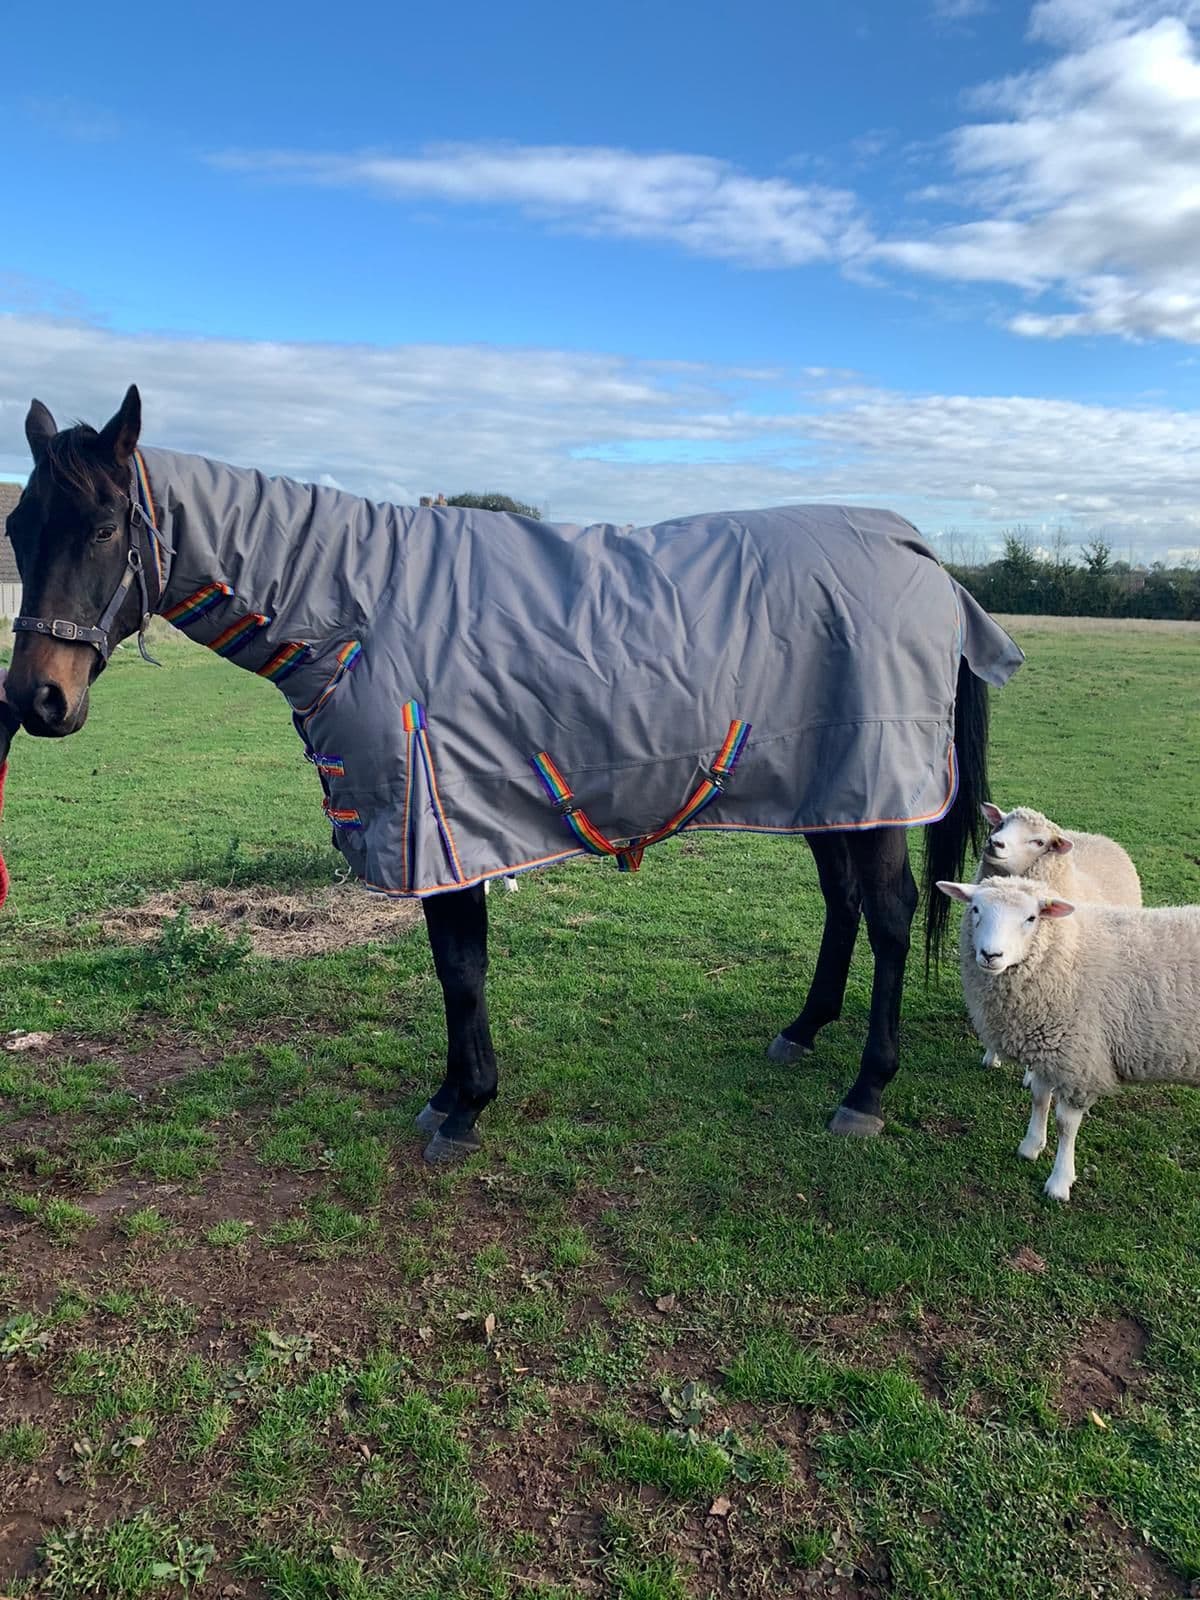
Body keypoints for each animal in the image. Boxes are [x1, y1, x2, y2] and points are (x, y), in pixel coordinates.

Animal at [4, 386, 1021, 1163]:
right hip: (830, 791)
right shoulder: (444, 833)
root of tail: (917, 552)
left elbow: (461, 969)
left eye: (103, 527)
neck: (358, 609)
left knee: (888, 917)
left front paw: (466, 1107)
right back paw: (804, 1031)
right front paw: (451, 1093)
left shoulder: (443, 825)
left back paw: (866, 1089)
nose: (36, 699)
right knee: (843, 905)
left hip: (876, 790)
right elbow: (455, 967)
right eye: (18, 526)